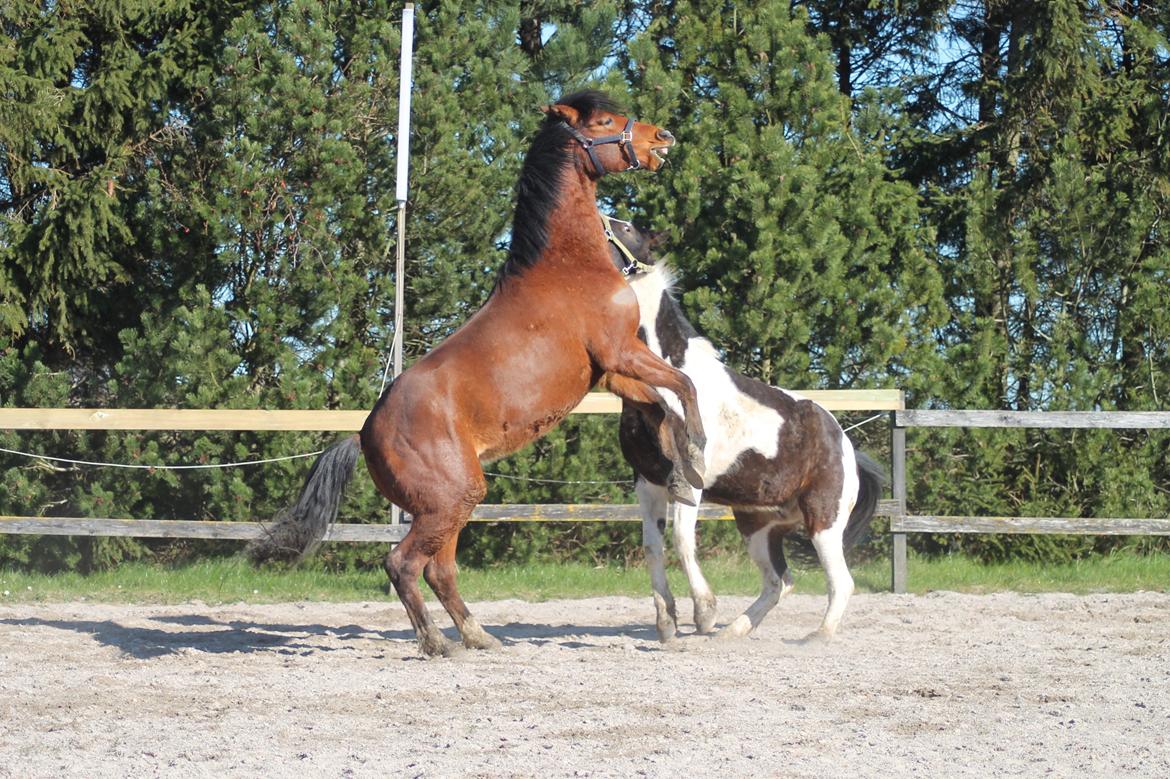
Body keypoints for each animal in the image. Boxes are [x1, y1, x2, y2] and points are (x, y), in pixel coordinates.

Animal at [246, 94, 702, 659]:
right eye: (604, 122)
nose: (662, 136)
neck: (570, 264)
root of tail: (364, 434)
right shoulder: (621, 353)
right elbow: (683, 388)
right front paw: (698, 452)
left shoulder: (609, 373)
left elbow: (659, 405)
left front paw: (681, 475)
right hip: (451, 501)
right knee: (403, 564)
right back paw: (437, 643)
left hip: (450, 505)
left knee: (439, 570)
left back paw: (478, 636)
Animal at [608, 216, 879, 636]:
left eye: (628, 229)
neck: (672, 382)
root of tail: (845, 444)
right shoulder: (648, 481)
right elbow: (653, 546)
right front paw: (667, 623)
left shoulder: (689, 481)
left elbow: (682, 540)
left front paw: (703, 613)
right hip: (758, 525)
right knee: (779, 581)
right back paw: (733, 633)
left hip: (824, 520)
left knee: (841, 582)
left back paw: (816, 637)